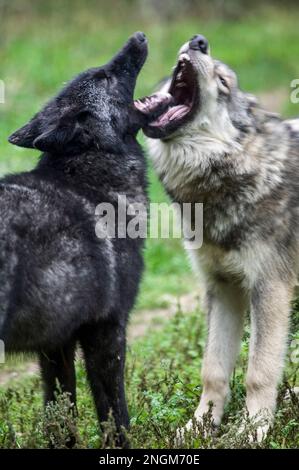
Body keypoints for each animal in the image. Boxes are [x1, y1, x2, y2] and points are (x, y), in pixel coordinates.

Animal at [1, 33, 154, 448]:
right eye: (105, 77)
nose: (137, 37)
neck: (93, 181)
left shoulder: (56, 343)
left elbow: (61, 416)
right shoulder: (108, 330)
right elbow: (115, 416)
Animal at [137, 34, 299, 440]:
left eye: (224, 82)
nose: (199, 40)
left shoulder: (270, 288)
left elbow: (259, 373)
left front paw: (251, 431)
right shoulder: (222, 287)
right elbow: (212, 370)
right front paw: (199, 427)